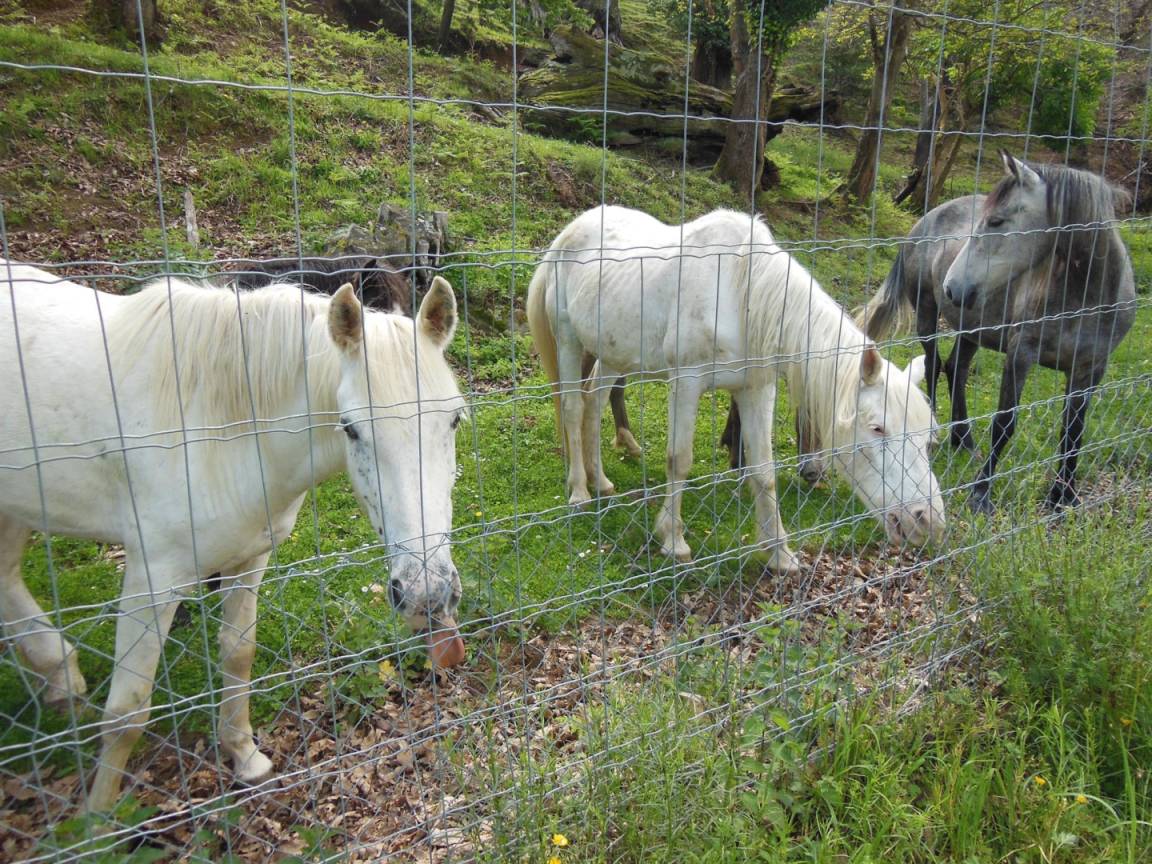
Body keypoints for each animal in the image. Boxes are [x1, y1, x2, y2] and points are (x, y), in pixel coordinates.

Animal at [0, 261, 466, 811]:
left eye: (454, 418)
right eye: (351, 429)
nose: (426, 593)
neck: (221, 428)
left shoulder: (249, 557)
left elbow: (238, 652)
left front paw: (245, 757)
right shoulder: (152, 575)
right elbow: (127, 709)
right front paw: (97, 818)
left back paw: (59, 677)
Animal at [527, 206, 945, 571]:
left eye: (928, 439)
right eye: (877, 428)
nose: (928, 519)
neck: (740, 292)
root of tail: (571, 230)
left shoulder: (756, 390)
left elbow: (764, 470)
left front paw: (779, 554)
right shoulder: (686, 383)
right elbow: (679, 460)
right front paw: (673, 540)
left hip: (613, 353)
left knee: (595, 403)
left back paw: (601, 482)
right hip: (568, 341)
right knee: (573, 409)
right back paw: (580, 492)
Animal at [858, 152, 1135, 513]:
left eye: (996, 222)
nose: (952, 287)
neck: (1084, 298)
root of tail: (926, 220)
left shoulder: (1090, 368)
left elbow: (1072, 431)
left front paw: (1063, 496)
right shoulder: (1020, 356)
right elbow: (1004, 423)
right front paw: (981, 493)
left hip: (972, 330)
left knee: (956, 369)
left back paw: (963, 440)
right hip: (928, 316)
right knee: (934, 367)